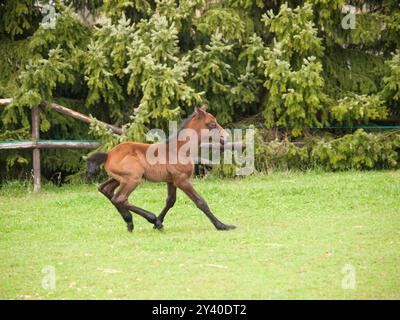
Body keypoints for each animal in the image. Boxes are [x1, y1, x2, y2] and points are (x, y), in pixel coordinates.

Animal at [87, 106, 234, 231]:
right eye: (212, 123)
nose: (226, 137)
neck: (179, 150)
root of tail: (108, 154)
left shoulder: (171, 181)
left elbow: (170, 201)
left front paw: (159, 222)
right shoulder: (182, 180)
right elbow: (201, 202)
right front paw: (222, 225)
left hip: (119, 178)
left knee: (106, 190)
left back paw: (130, 221)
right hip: (133, 178)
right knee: (119, 198)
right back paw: (147, 218)